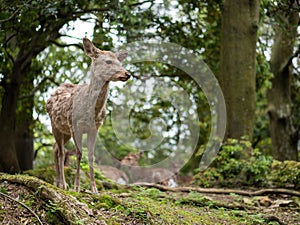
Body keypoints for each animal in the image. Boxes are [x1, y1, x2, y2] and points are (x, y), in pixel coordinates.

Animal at [45, 37, 130, 192]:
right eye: (108, 61)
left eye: (120, 62)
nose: (127, 74)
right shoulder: (75, 127)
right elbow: (79, 154)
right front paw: (77, 187)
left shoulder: (95, 128)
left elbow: (91, 156)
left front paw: (94, 189)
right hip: (55, 125)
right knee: (61, 151)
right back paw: (63, 184)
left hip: (64, 130)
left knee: (55, 148)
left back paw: (57, 182)